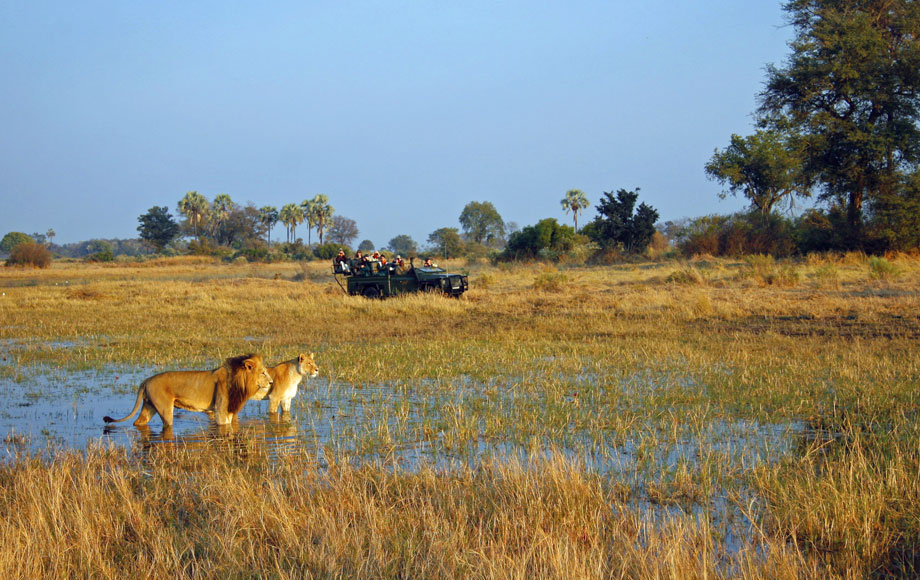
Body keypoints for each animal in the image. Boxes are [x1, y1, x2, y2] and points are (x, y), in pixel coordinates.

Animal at [103, 352, 274, 428]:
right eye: (263, 373)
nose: (272, 382)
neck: (240, 383)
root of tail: (145, 381)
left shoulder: (230, 411)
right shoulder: (220, 410)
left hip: (149, 406)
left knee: (138, 422)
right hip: (164, 408)